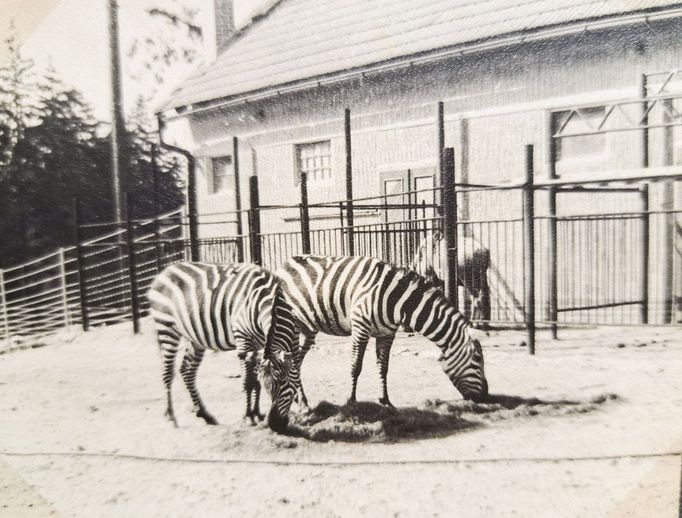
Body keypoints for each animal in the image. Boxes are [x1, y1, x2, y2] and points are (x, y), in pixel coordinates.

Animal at [146, 264, 298, 434]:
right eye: (269, 386)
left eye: (284, 381)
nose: (275, 425)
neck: (269, 299)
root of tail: (165, 271)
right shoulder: (243, 339)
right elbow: (248, 381)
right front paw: (249, 416)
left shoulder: (260, 346)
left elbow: (255, 380)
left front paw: (257, 413)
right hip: (166, 328)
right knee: (167, 373)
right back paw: (172, 416)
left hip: (195, 338)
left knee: (187, 371)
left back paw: (204, 414)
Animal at [274, 256, 486, 410]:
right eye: (477, 359)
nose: (486, 396)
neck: (399, 301)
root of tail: (282, 265)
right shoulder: (360, 328)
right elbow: (356, 366)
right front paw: (351, 400)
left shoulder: (386, 334)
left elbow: (383, 368)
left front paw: (385, 401)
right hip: (289, 324)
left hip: (308, 329)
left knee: (296, 361)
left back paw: (301, 400)